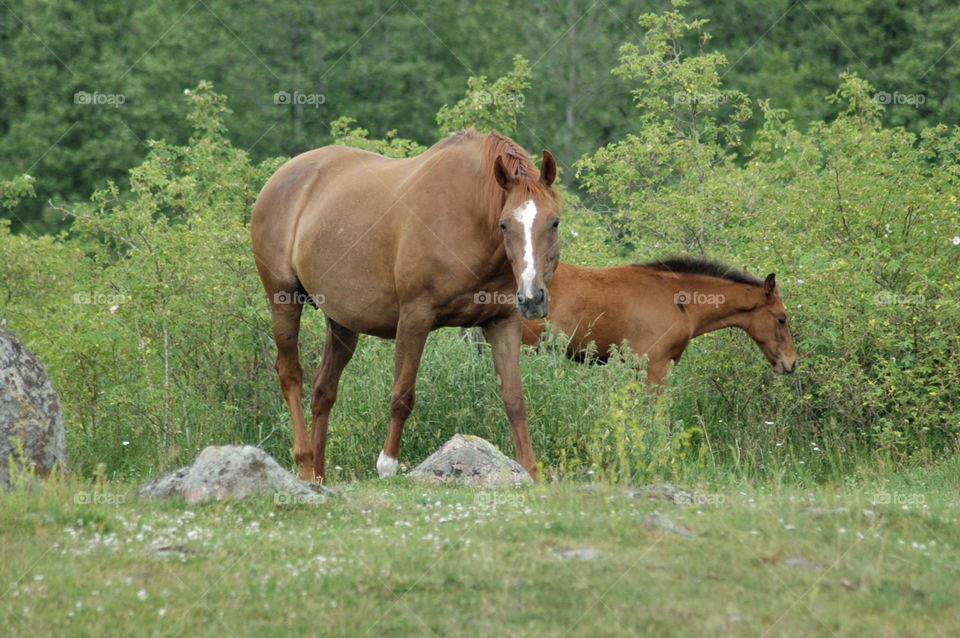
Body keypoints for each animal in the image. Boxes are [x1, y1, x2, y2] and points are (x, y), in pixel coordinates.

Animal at [252, 129, 560, 482]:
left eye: (554, 222)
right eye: (505, 224)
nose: (533, 298)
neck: (468, 214)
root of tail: (278, 180)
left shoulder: (503, 322)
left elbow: (514, 399)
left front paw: (531, 471)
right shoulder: (415, 318)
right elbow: (402, 396)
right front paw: (387, 466)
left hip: (343, 322)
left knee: (323, 389)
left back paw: (317, 474)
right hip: (284, 301)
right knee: (291, 376)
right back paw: (304, 462)